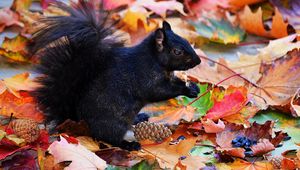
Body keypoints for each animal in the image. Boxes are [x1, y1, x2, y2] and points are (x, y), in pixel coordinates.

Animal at [29, 1, 200, 150]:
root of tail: (79, 120)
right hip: (114, 124)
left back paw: (139, 118)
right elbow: (159, 91)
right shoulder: (146, 77)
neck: (155, 60)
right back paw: (129, 145)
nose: (198, 61)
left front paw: (193, 87)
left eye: (186, 41)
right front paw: (186, 90)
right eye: (177, 51)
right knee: (109, 138)